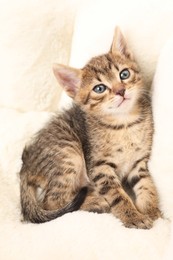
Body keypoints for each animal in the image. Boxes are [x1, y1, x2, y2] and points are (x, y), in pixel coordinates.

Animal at [19, 27, 161, 229]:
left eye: (124, 74)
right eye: (99, 88)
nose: (121, 91)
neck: (124, 124)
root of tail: (26, 163)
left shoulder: (139, 162)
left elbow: (147, 185)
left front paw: (151, 210)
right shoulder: (100, 168)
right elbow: (118, 195)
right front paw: (133, 216)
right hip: (69, 154)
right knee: (53, 202)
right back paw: (95, 202)